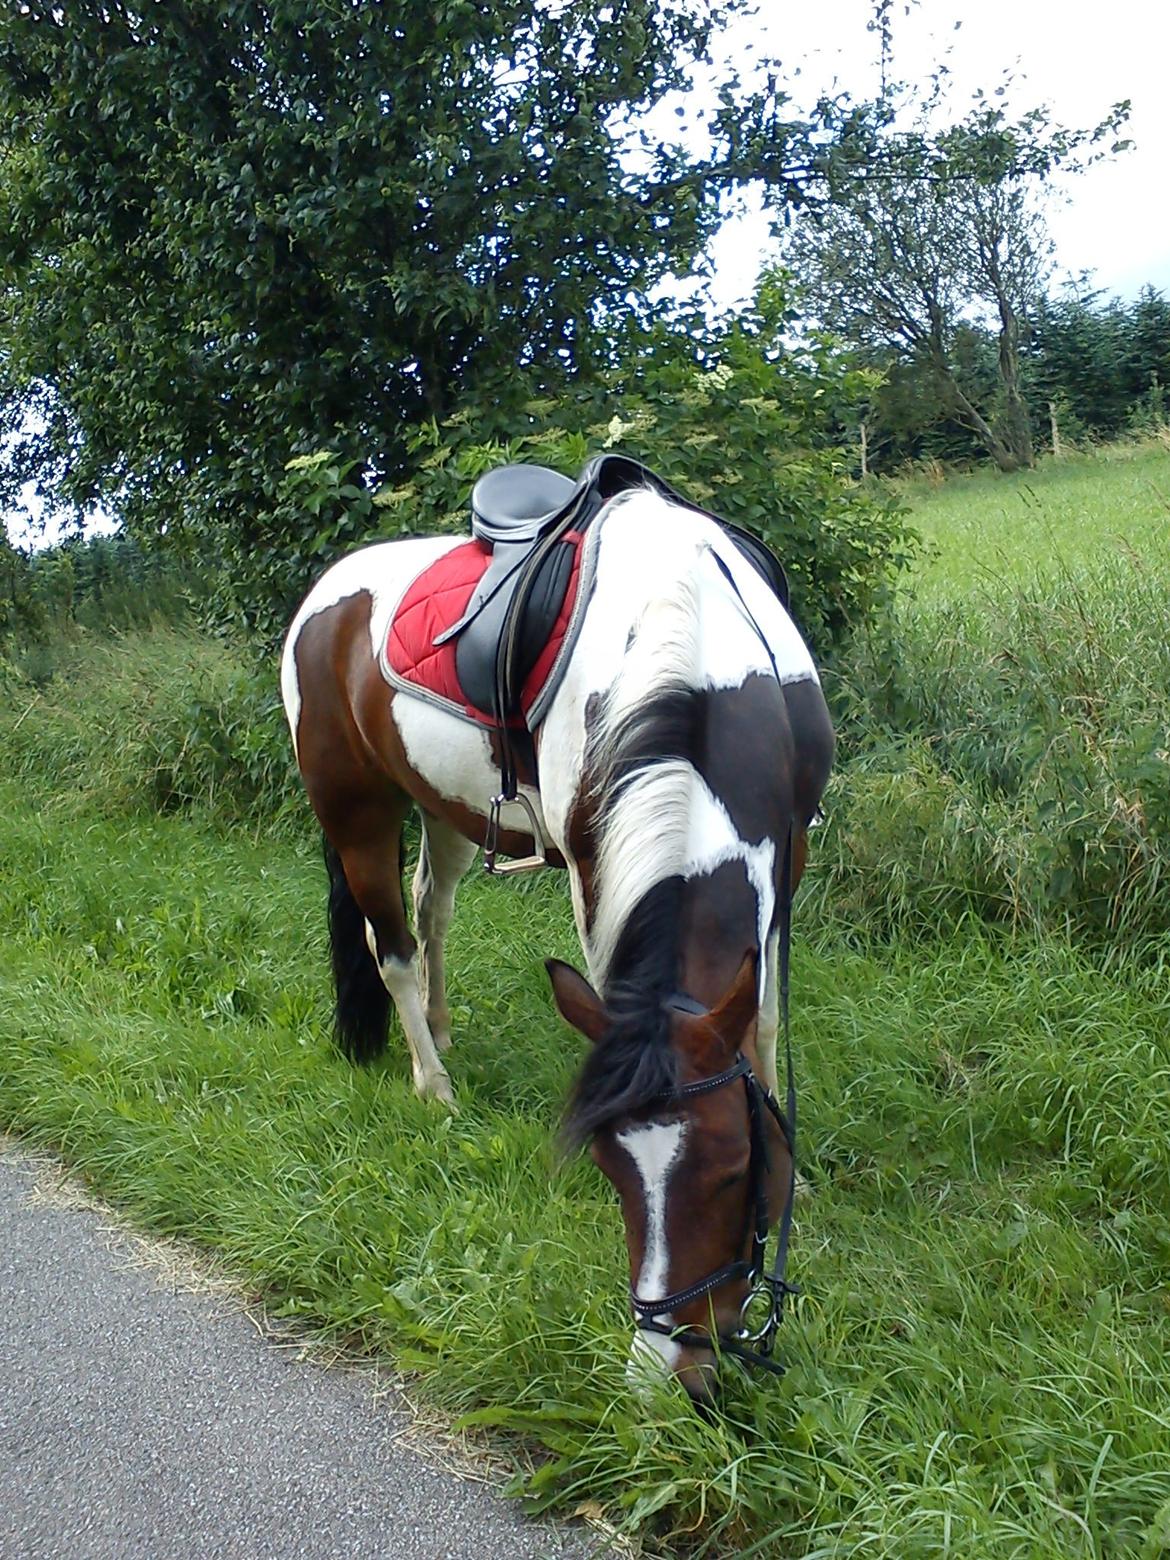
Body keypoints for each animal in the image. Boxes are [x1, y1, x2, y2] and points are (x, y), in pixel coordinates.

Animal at [280, 467, 836, 1397]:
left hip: (440, 806)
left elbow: (758, 1023)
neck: (698, 650)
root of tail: (326, 592)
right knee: (390, 948)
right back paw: (434, 1085)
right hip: (353, 806)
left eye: (733, 1170)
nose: (667, 1371)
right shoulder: (590, 865)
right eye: (609, 1168)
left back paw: (442, 1030)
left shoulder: (786, 858)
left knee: (431, 911)